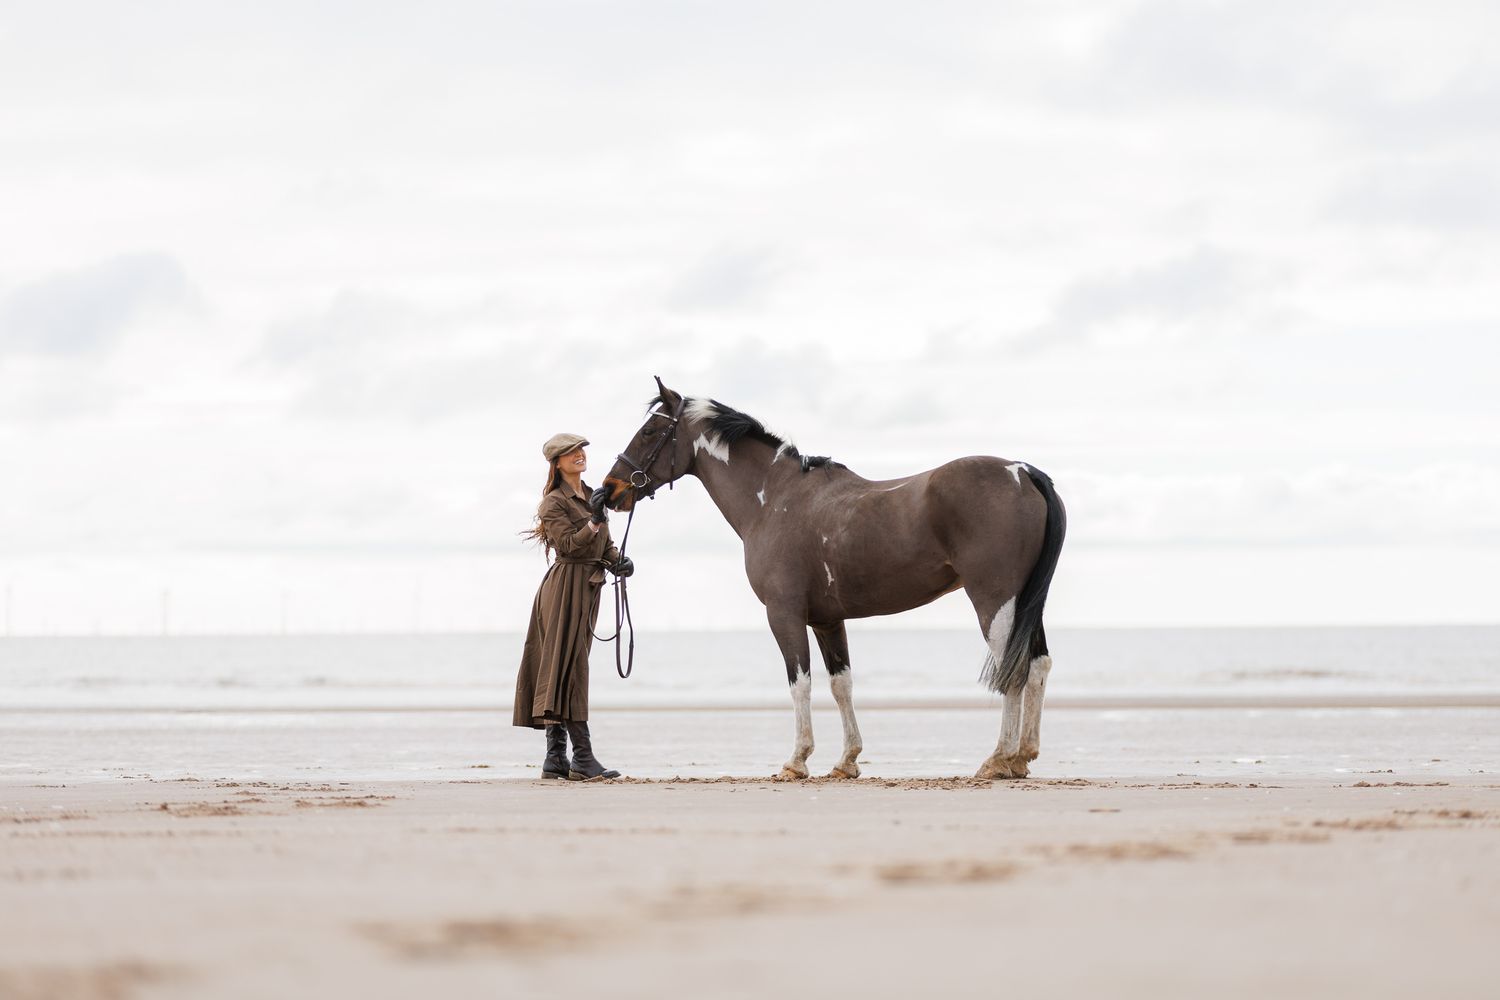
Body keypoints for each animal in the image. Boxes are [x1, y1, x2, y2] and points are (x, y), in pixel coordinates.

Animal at [602, 377, 1066, 780]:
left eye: (649, 431)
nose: (609, 491)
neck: (774, 499)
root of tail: (1022, 471)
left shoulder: (784, 615)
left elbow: (800, 684)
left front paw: (796, 761)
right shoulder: (827, 620)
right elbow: (841, 684)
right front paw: (846, 761)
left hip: (995, 600)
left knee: (1013, 668)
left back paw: (998, 759)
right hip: (1025, 602)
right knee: (1038, 664)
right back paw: (1022, 756)